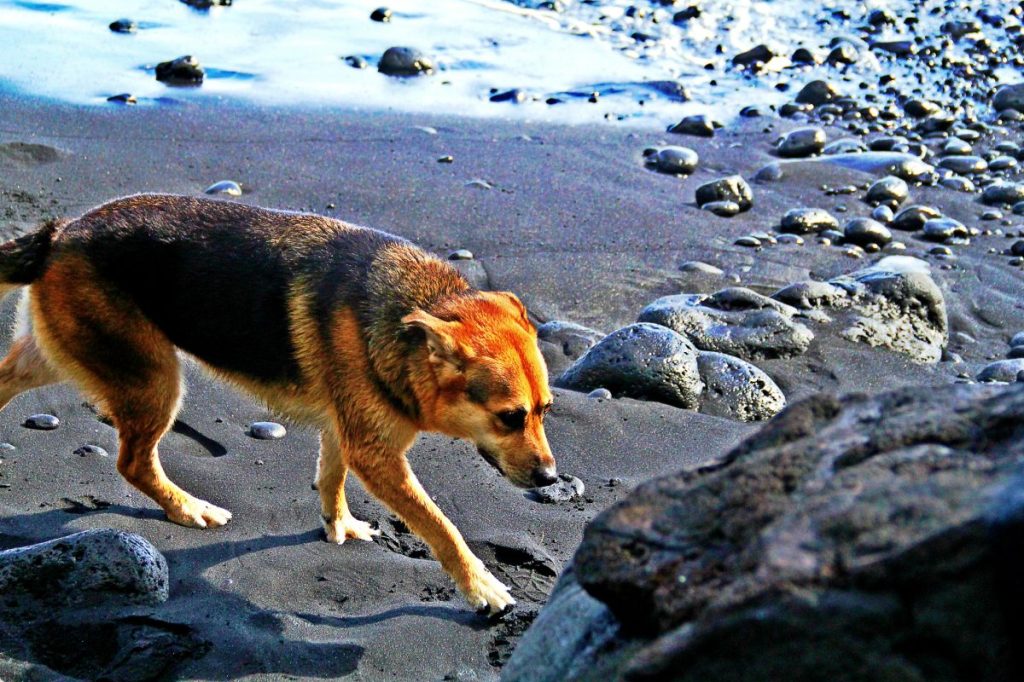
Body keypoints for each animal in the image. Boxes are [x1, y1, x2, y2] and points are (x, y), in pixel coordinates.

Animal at [0, 193, 557, 614]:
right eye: (510, 417)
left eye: (547, 409)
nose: (552, 480)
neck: (411, 319)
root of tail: (61, 232)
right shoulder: (377, 456)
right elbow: (443, 528)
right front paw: (480, 586)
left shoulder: (345, 431)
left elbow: (331, 479)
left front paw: (339, 525)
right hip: (154, 381)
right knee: (134, 463)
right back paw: (187, 507)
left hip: (54, 357)